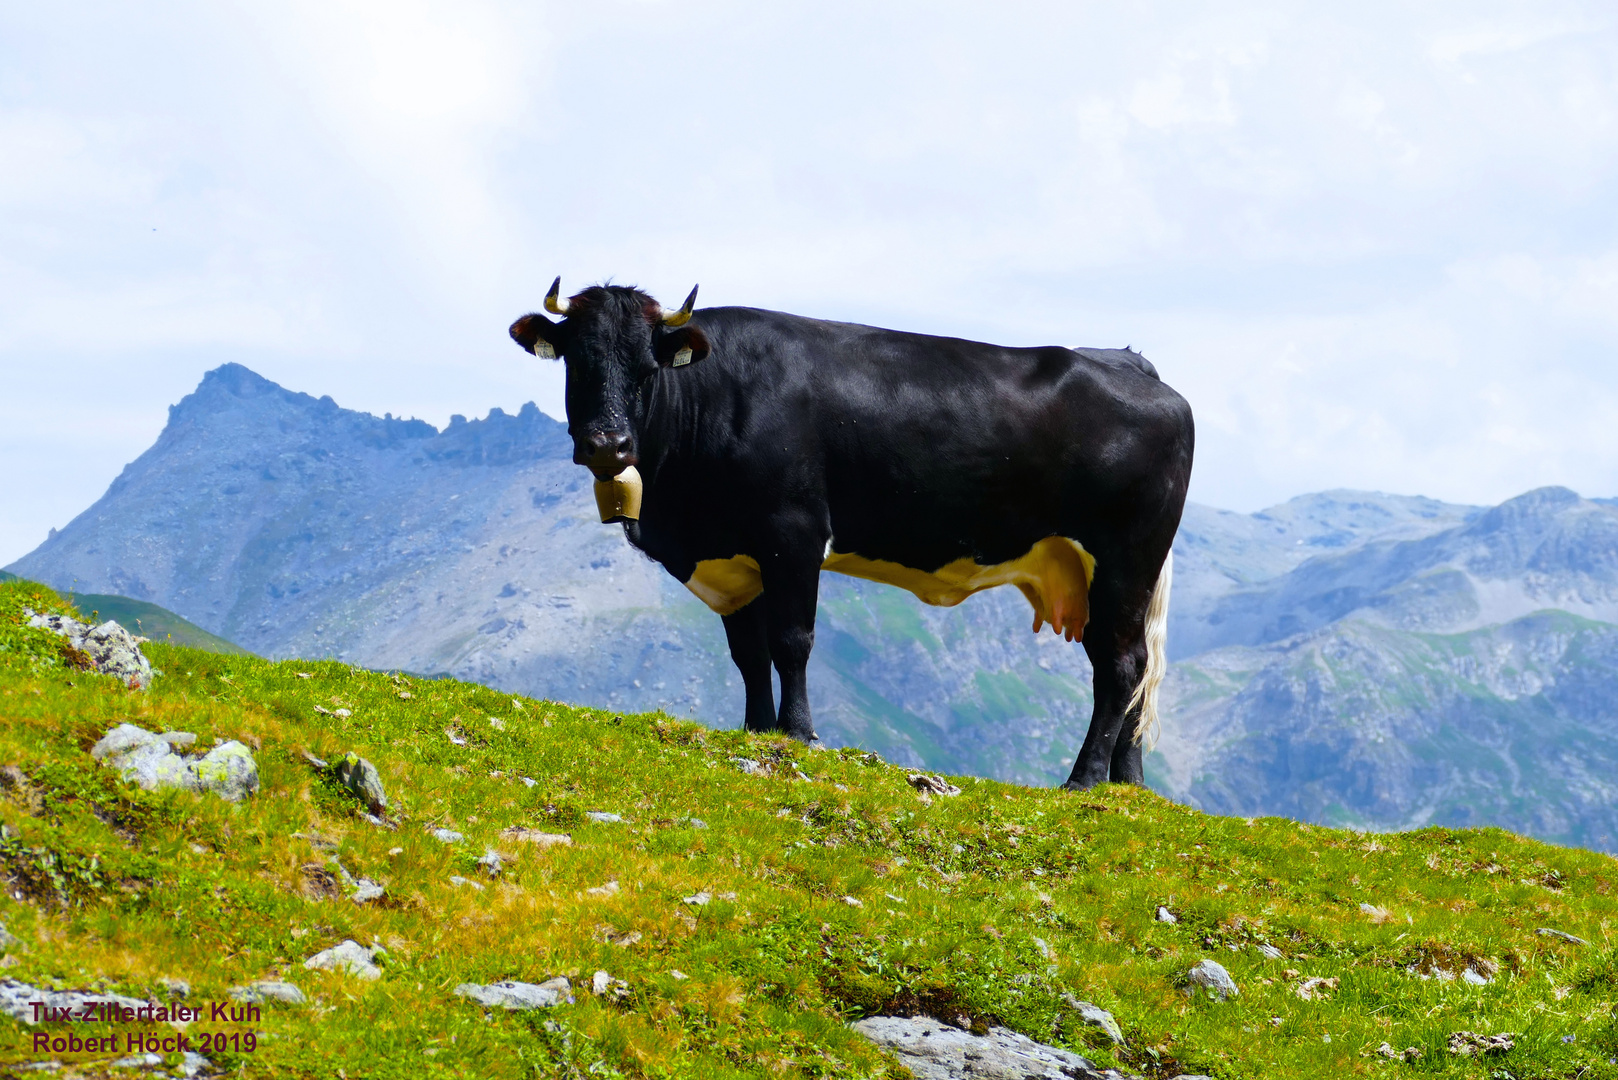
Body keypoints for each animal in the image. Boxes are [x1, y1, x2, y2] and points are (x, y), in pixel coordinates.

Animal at [511, 278, 1197, 786]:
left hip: (1125, 557)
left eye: (646, 365)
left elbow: (791, 642)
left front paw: (797, 733)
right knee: (1134, 669)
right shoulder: (732, 558)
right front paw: (756, 730)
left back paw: (1082, 780)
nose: (607, 443)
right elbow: (748, 654)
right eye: (576, 360)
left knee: (1120, 666)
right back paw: (1126, 784)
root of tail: (1132, 363)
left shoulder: (793, 533)